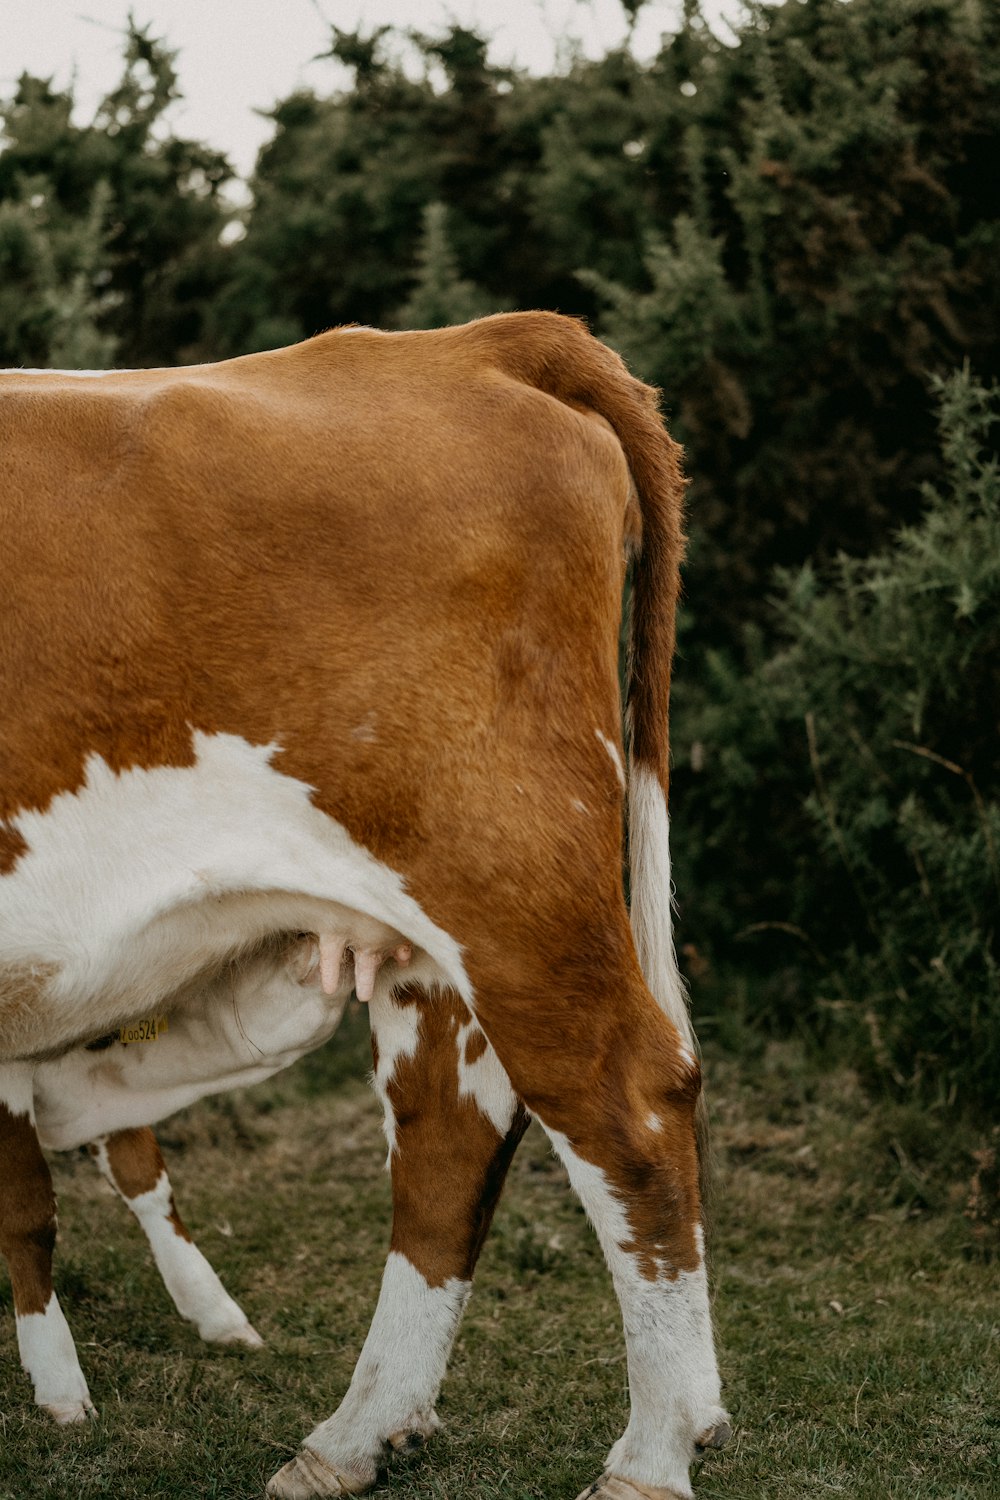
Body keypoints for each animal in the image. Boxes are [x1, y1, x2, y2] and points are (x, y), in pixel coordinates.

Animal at [1, 310, 734, 1494]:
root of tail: (471, 342)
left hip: (508, 885)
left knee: (625, 1102)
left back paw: (650, 1453)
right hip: (434, 937)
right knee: (449, 1127)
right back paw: (353, 1435)